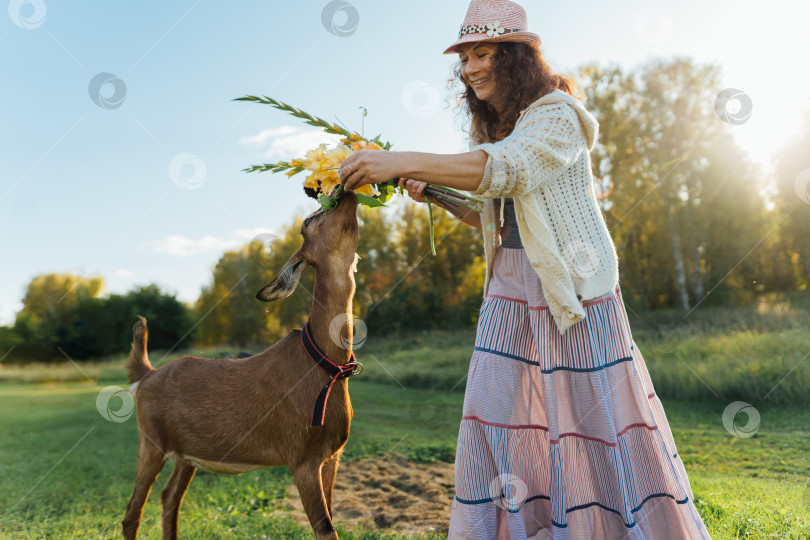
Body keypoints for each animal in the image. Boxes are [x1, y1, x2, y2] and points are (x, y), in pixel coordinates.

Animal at [120, 192, 360, 536]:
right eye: (308, 220)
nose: (344, 192)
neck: (325, 364)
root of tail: (147, 375)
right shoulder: (301, 457)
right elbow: (325, 528)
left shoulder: (332, 456)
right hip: (150, 440)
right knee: (134, 508)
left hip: (186, 454)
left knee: (169, 497)